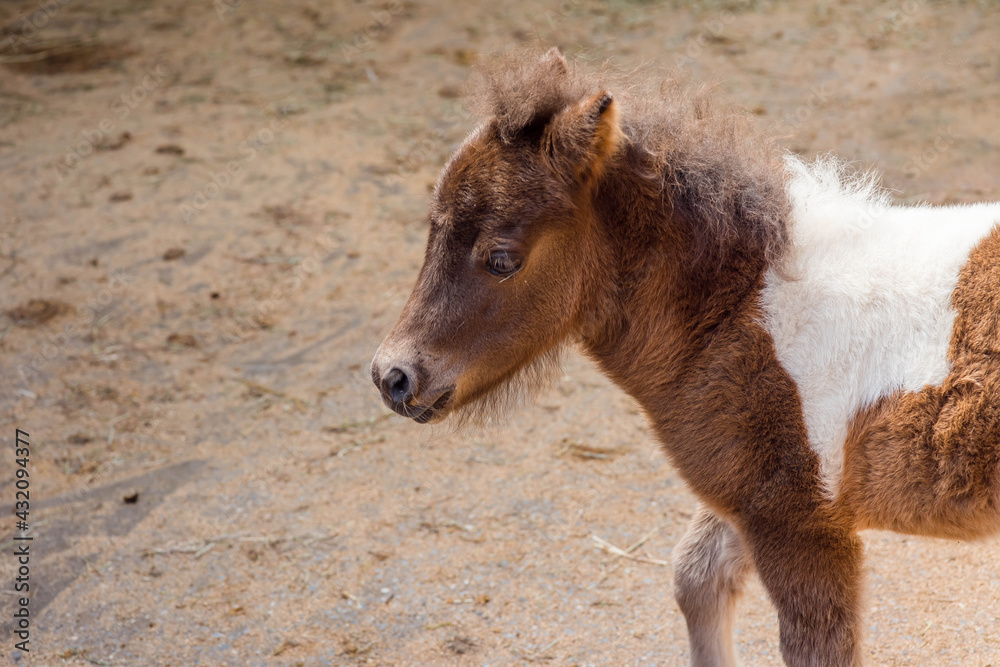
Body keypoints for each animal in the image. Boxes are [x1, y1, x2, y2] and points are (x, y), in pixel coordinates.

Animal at [370, 47, 1000, 666]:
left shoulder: (800, 523)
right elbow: (694, 578)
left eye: (501, 258)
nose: (392, 376)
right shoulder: (744, 499)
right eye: (431, 228)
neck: (740, 307)